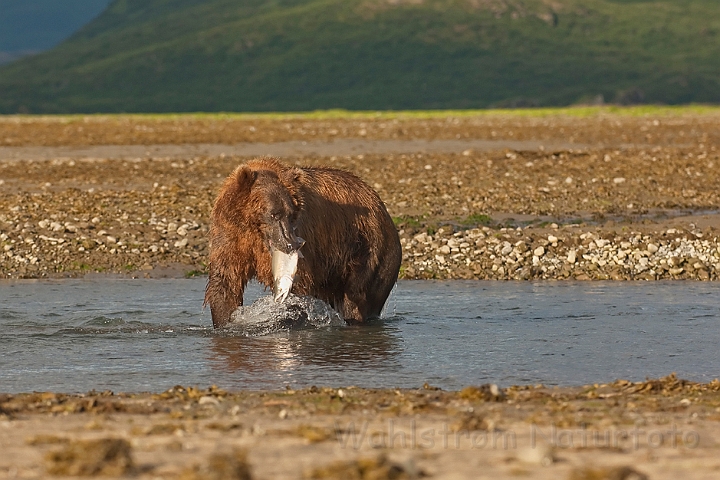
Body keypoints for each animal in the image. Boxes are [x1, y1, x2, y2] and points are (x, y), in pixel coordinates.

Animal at [205, 159, 402, 328]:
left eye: (291, 214)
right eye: (274, 214)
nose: (291, 243)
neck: (255, 233)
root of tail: (380, 205)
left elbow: (299, 286)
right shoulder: (231, 236)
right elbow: (225, 282)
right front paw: (225, 320)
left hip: (368, 247)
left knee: (358, 295)